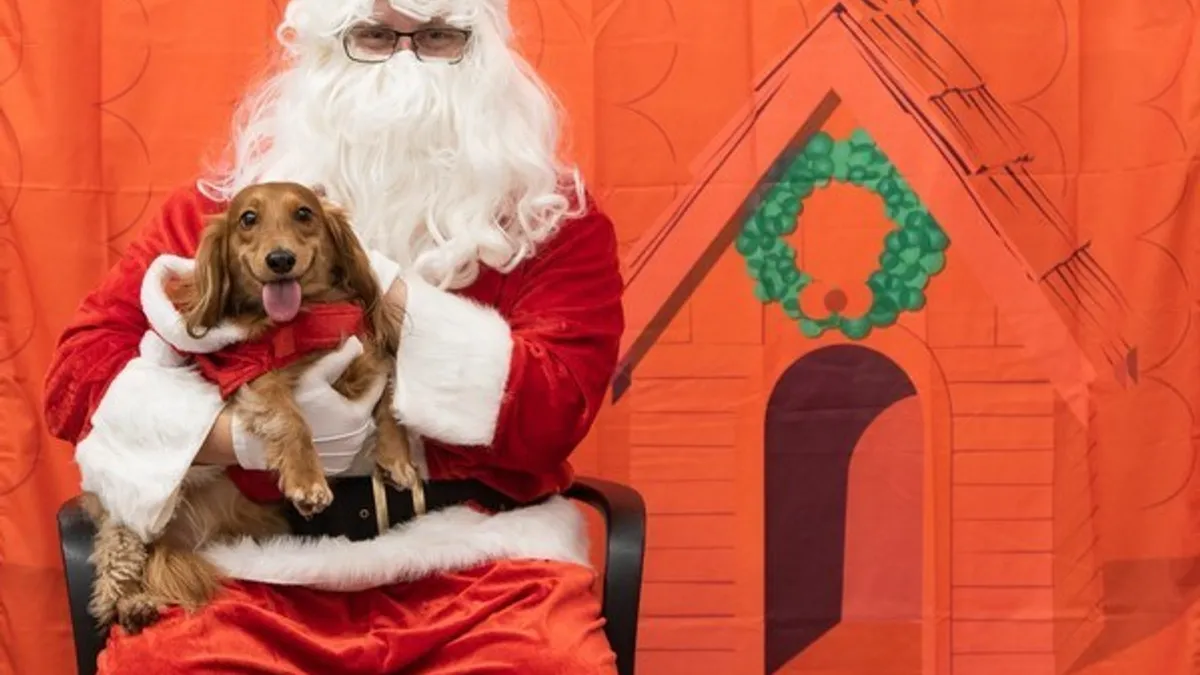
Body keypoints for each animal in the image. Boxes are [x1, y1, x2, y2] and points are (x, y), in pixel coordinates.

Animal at [87, 181, 420, 634]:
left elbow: (388, 402)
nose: (280, 260)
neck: (306, 320)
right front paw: (307, 480)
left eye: (304, 213)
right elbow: (291, 418)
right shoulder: (254, 377)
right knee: (115, 568)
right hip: (129, 519)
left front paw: (396, 458)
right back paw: (132, 605)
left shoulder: (368, 355)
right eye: (248, 218)